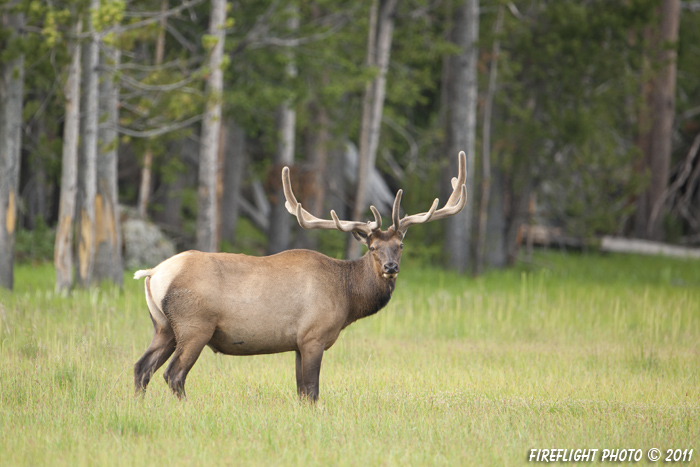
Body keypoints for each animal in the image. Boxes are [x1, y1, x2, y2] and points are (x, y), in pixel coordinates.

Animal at [134, 152, 468, 400]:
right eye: (373, 247)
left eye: (400, 246)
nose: (390, 267)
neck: (347, 297)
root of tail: (154, 273)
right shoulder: (313, 335)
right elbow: (311, 391)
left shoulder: (297, 342)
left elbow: (300, 391)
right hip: (194, 325)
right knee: (173, 374)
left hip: (163, 326)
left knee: (141, 368)